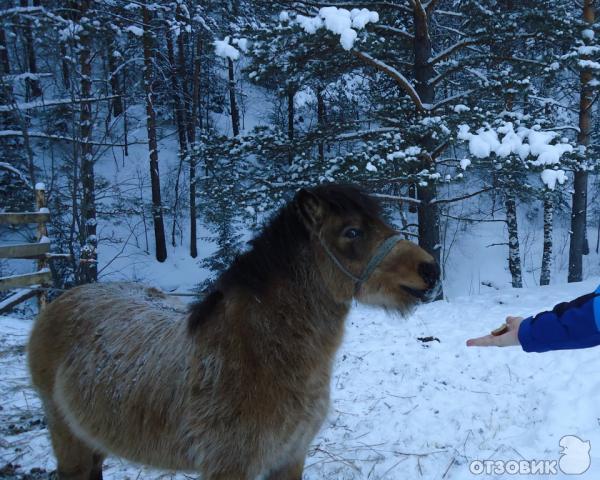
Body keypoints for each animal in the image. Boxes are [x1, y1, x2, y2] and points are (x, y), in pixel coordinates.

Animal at [28, 182, 440, 478]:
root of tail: (63, 300)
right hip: (68, 439)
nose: (430, 269)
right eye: (352, 232)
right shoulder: (229, 468)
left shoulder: (290, 458)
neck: (255, 355)